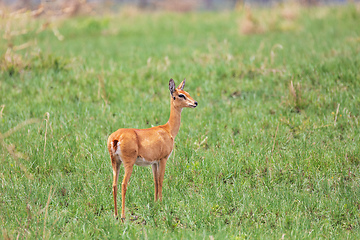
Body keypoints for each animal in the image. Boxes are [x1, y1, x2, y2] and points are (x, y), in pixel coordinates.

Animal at [107, 78, 197, 220]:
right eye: (180, 95)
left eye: (187, 92)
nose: (195, 103)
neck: (168, 130)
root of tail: (116, 137)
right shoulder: (163, 159)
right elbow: (161, 180)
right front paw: (161, 203)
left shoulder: (154, 163)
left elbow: (155, 181)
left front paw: (155, 203)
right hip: (128, 164)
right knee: (123, 184)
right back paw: (122, 216)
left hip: (115, 163)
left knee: (114, 185)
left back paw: (115, 215)